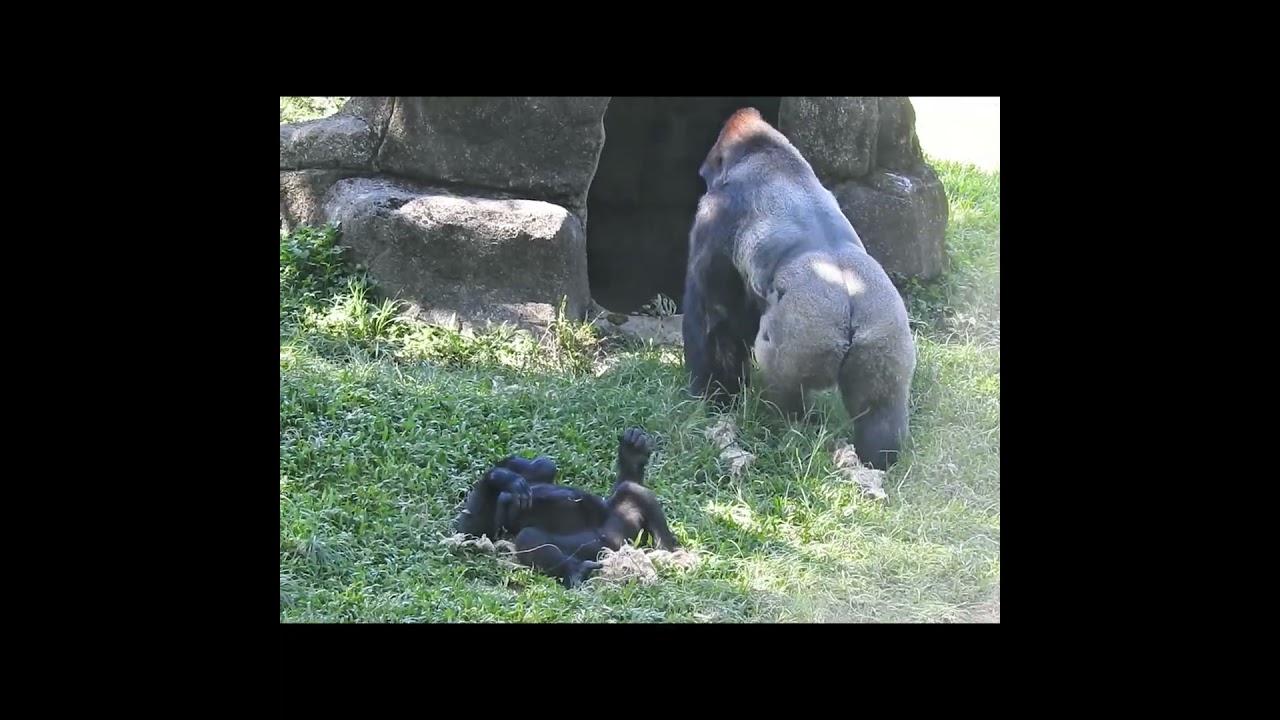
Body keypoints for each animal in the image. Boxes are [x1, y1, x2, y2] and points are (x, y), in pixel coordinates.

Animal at [453, 427, 682, 588]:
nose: (527, 463)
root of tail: (618, 547)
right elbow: (470, 530)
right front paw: (503, 478)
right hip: (600, 545)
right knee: (529, 537)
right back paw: (575, 569)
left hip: (621, 525)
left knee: (630, 489)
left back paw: (669, 549)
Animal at [681, 107, 917, 471]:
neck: (768, 154)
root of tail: (852, 304)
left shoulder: (717, 216)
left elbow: (713, 316)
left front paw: (713, 395)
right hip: (886, 338)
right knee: (880, 409)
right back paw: (879, 456)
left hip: (806, 337)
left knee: (786, 388)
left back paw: (789, 429)